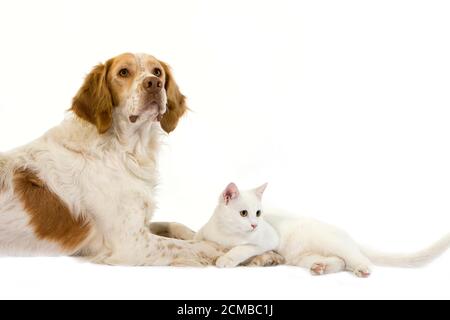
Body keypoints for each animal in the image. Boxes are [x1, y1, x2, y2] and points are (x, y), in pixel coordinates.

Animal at [0, 52, 282, 266]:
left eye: (157, 71)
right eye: (124, 72)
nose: (153, 84)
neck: (126, 151)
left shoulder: (141, 225)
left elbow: (181, 228)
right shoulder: (130, 243)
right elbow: (200, 247)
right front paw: (255, 254)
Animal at [196, 182, 450, 278]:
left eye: (258, 213)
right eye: (243, 213)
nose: (254, 224)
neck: (228, 234)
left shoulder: (268, 239)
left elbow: (244, 248)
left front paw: (227, 259)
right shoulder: (207, 233)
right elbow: (202, 238)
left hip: (333, 243)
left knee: (356, 258)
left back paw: (361, 269)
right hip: (304, 257)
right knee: (340, 262)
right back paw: (321, 267)